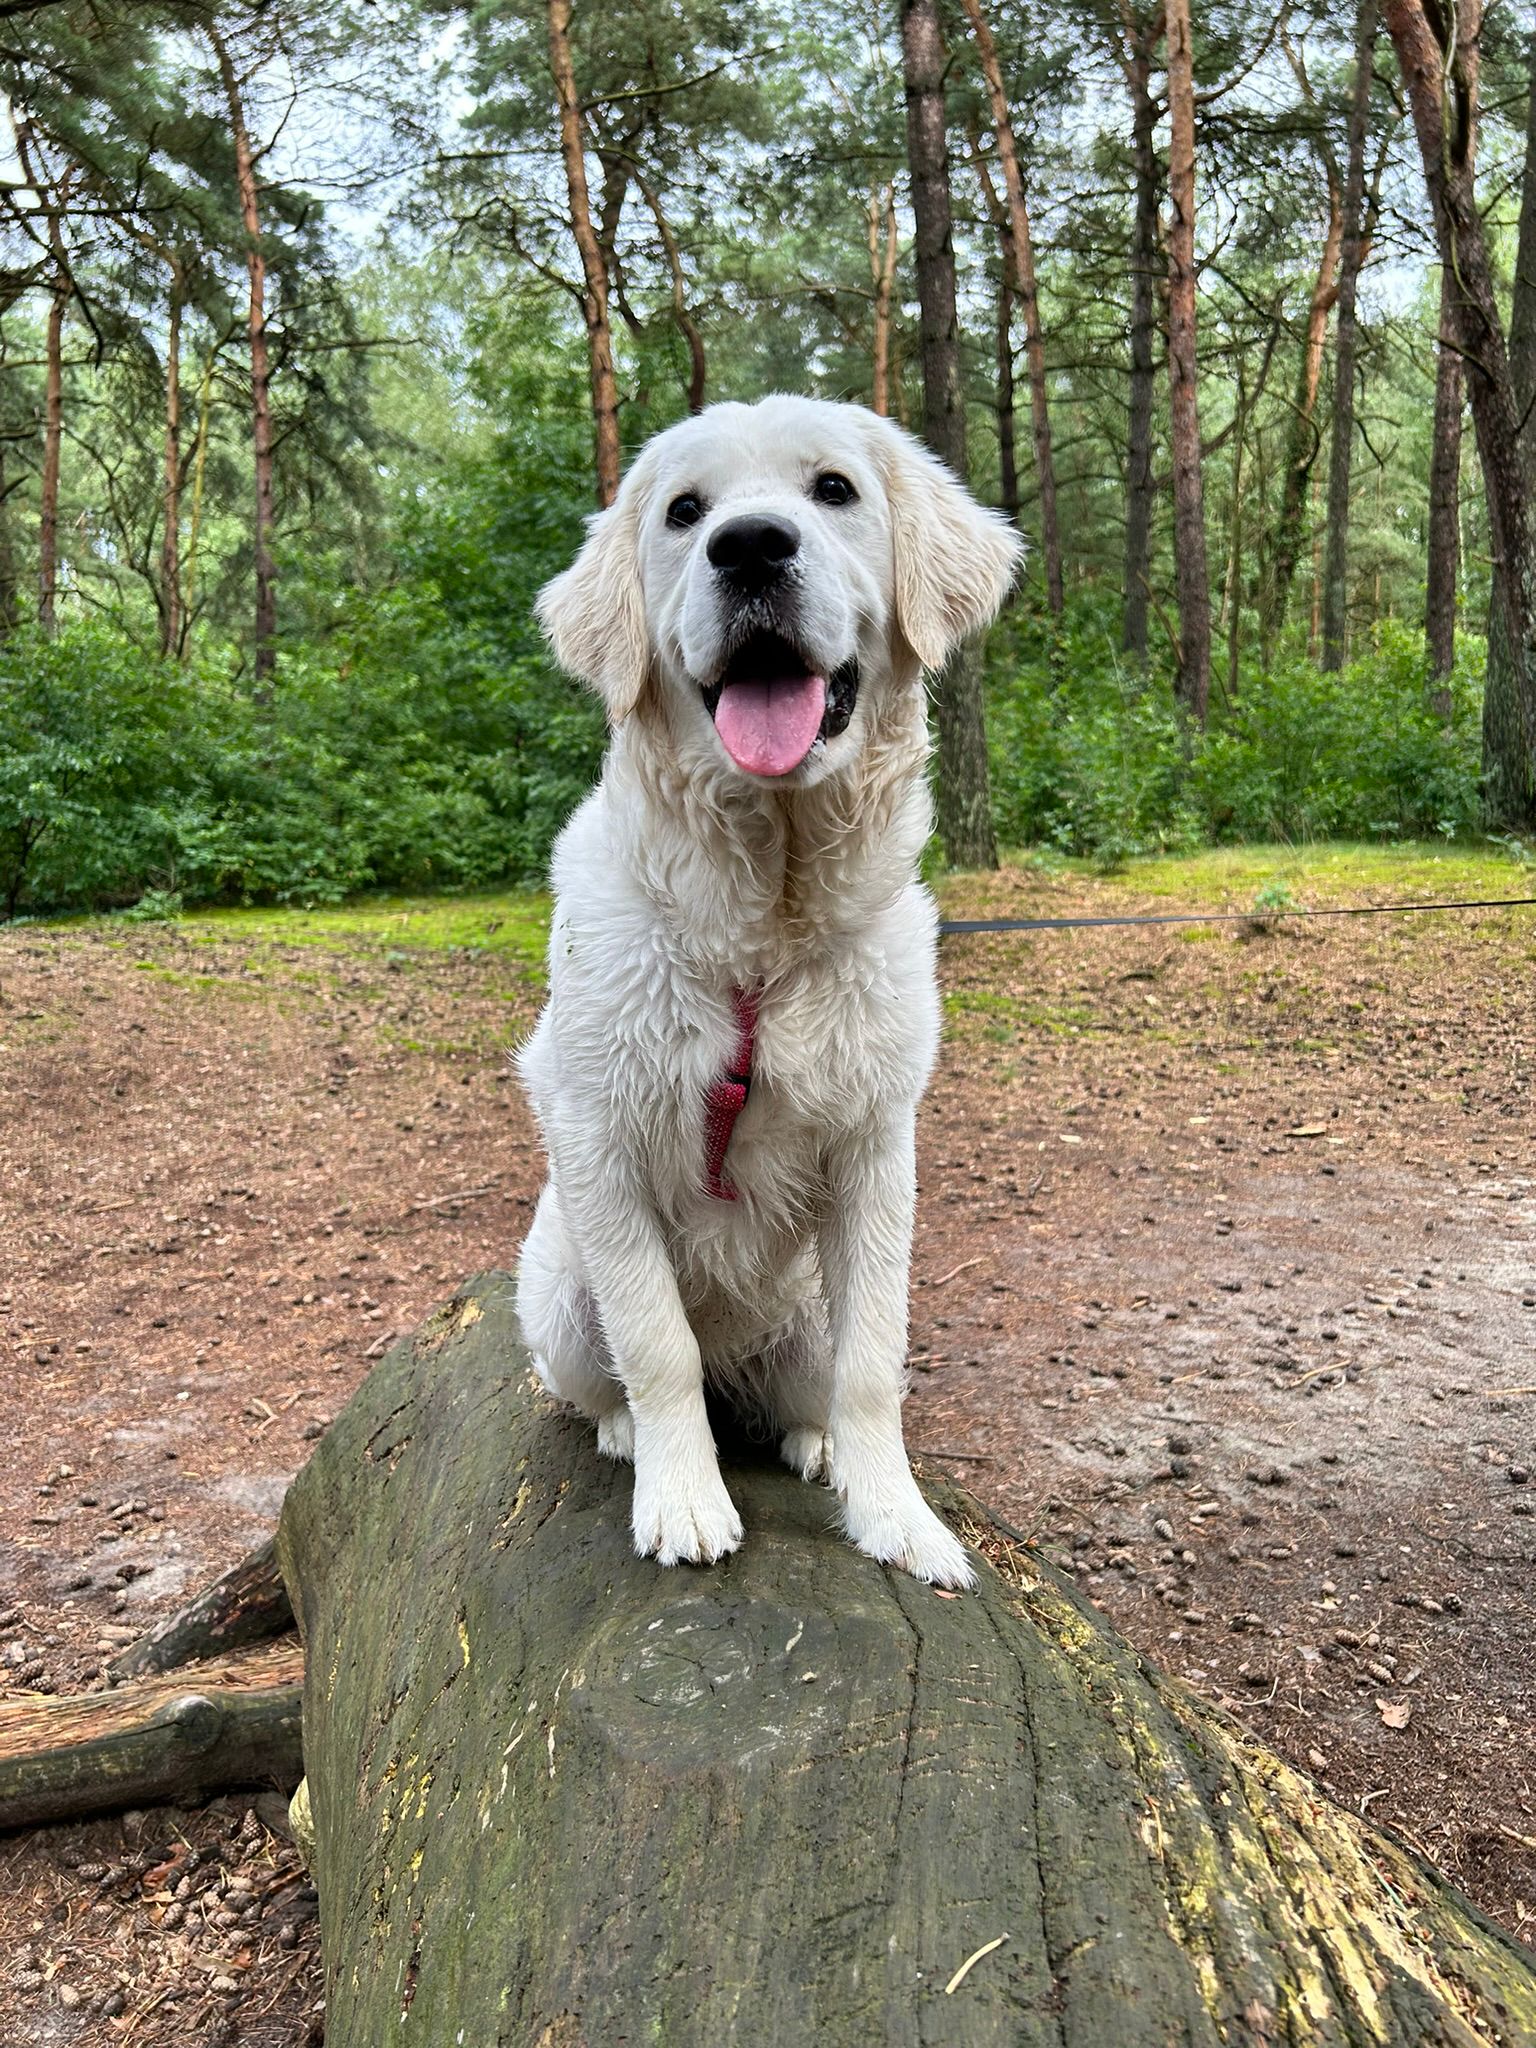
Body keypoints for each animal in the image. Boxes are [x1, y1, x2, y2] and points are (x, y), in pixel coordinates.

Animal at [514, 395, 1024, 1581]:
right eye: (683, 511)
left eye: (833, 489)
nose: (748, 545)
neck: (764, 924)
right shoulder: (598, 1131)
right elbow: (657, 1342)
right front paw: (684, 1500)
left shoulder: (879, 1146)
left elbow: (875, 1361)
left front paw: (898, 1518)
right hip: (556, 1288)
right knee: (621, 1374)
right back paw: (628, 1432)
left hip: (795, 1316)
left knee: (809, 1382)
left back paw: (814, 1438)